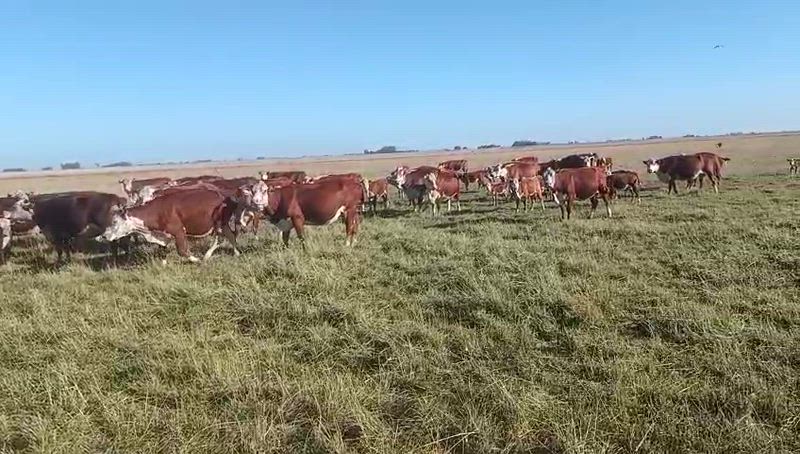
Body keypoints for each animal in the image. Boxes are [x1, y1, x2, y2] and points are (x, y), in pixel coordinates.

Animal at [102, 187, 240, 263]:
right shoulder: (162, 235)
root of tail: (224, 196)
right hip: (224, 224)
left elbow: (182, 251)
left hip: (218, 224)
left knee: (220, 239)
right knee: (231, 236)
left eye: (115, 222)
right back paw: (237, 253)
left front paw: (197, 260)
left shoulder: (178, 231)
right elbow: (162, 250)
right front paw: (163, 265)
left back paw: (207, 255)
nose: (104, 236)